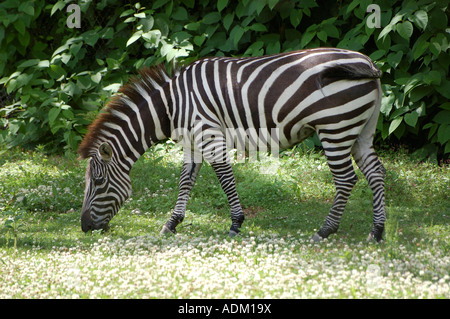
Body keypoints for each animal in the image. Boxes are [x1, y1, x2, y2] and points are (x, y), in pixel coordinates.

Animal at [77, 47, 386, 242]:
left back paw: (325, 230)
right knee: (376, 172)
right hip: (360, 131)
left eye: (99, 182)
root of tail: (367, 61)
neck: (171, 106)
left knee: (346, 179)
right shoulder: (192, 144)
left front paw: (236, 223)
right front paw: (171, 224)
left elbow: (225, 179)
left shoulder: (208, 134)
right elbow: (185, 182)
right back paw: (377, 231)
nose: (85, 228)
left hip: (335, 127)